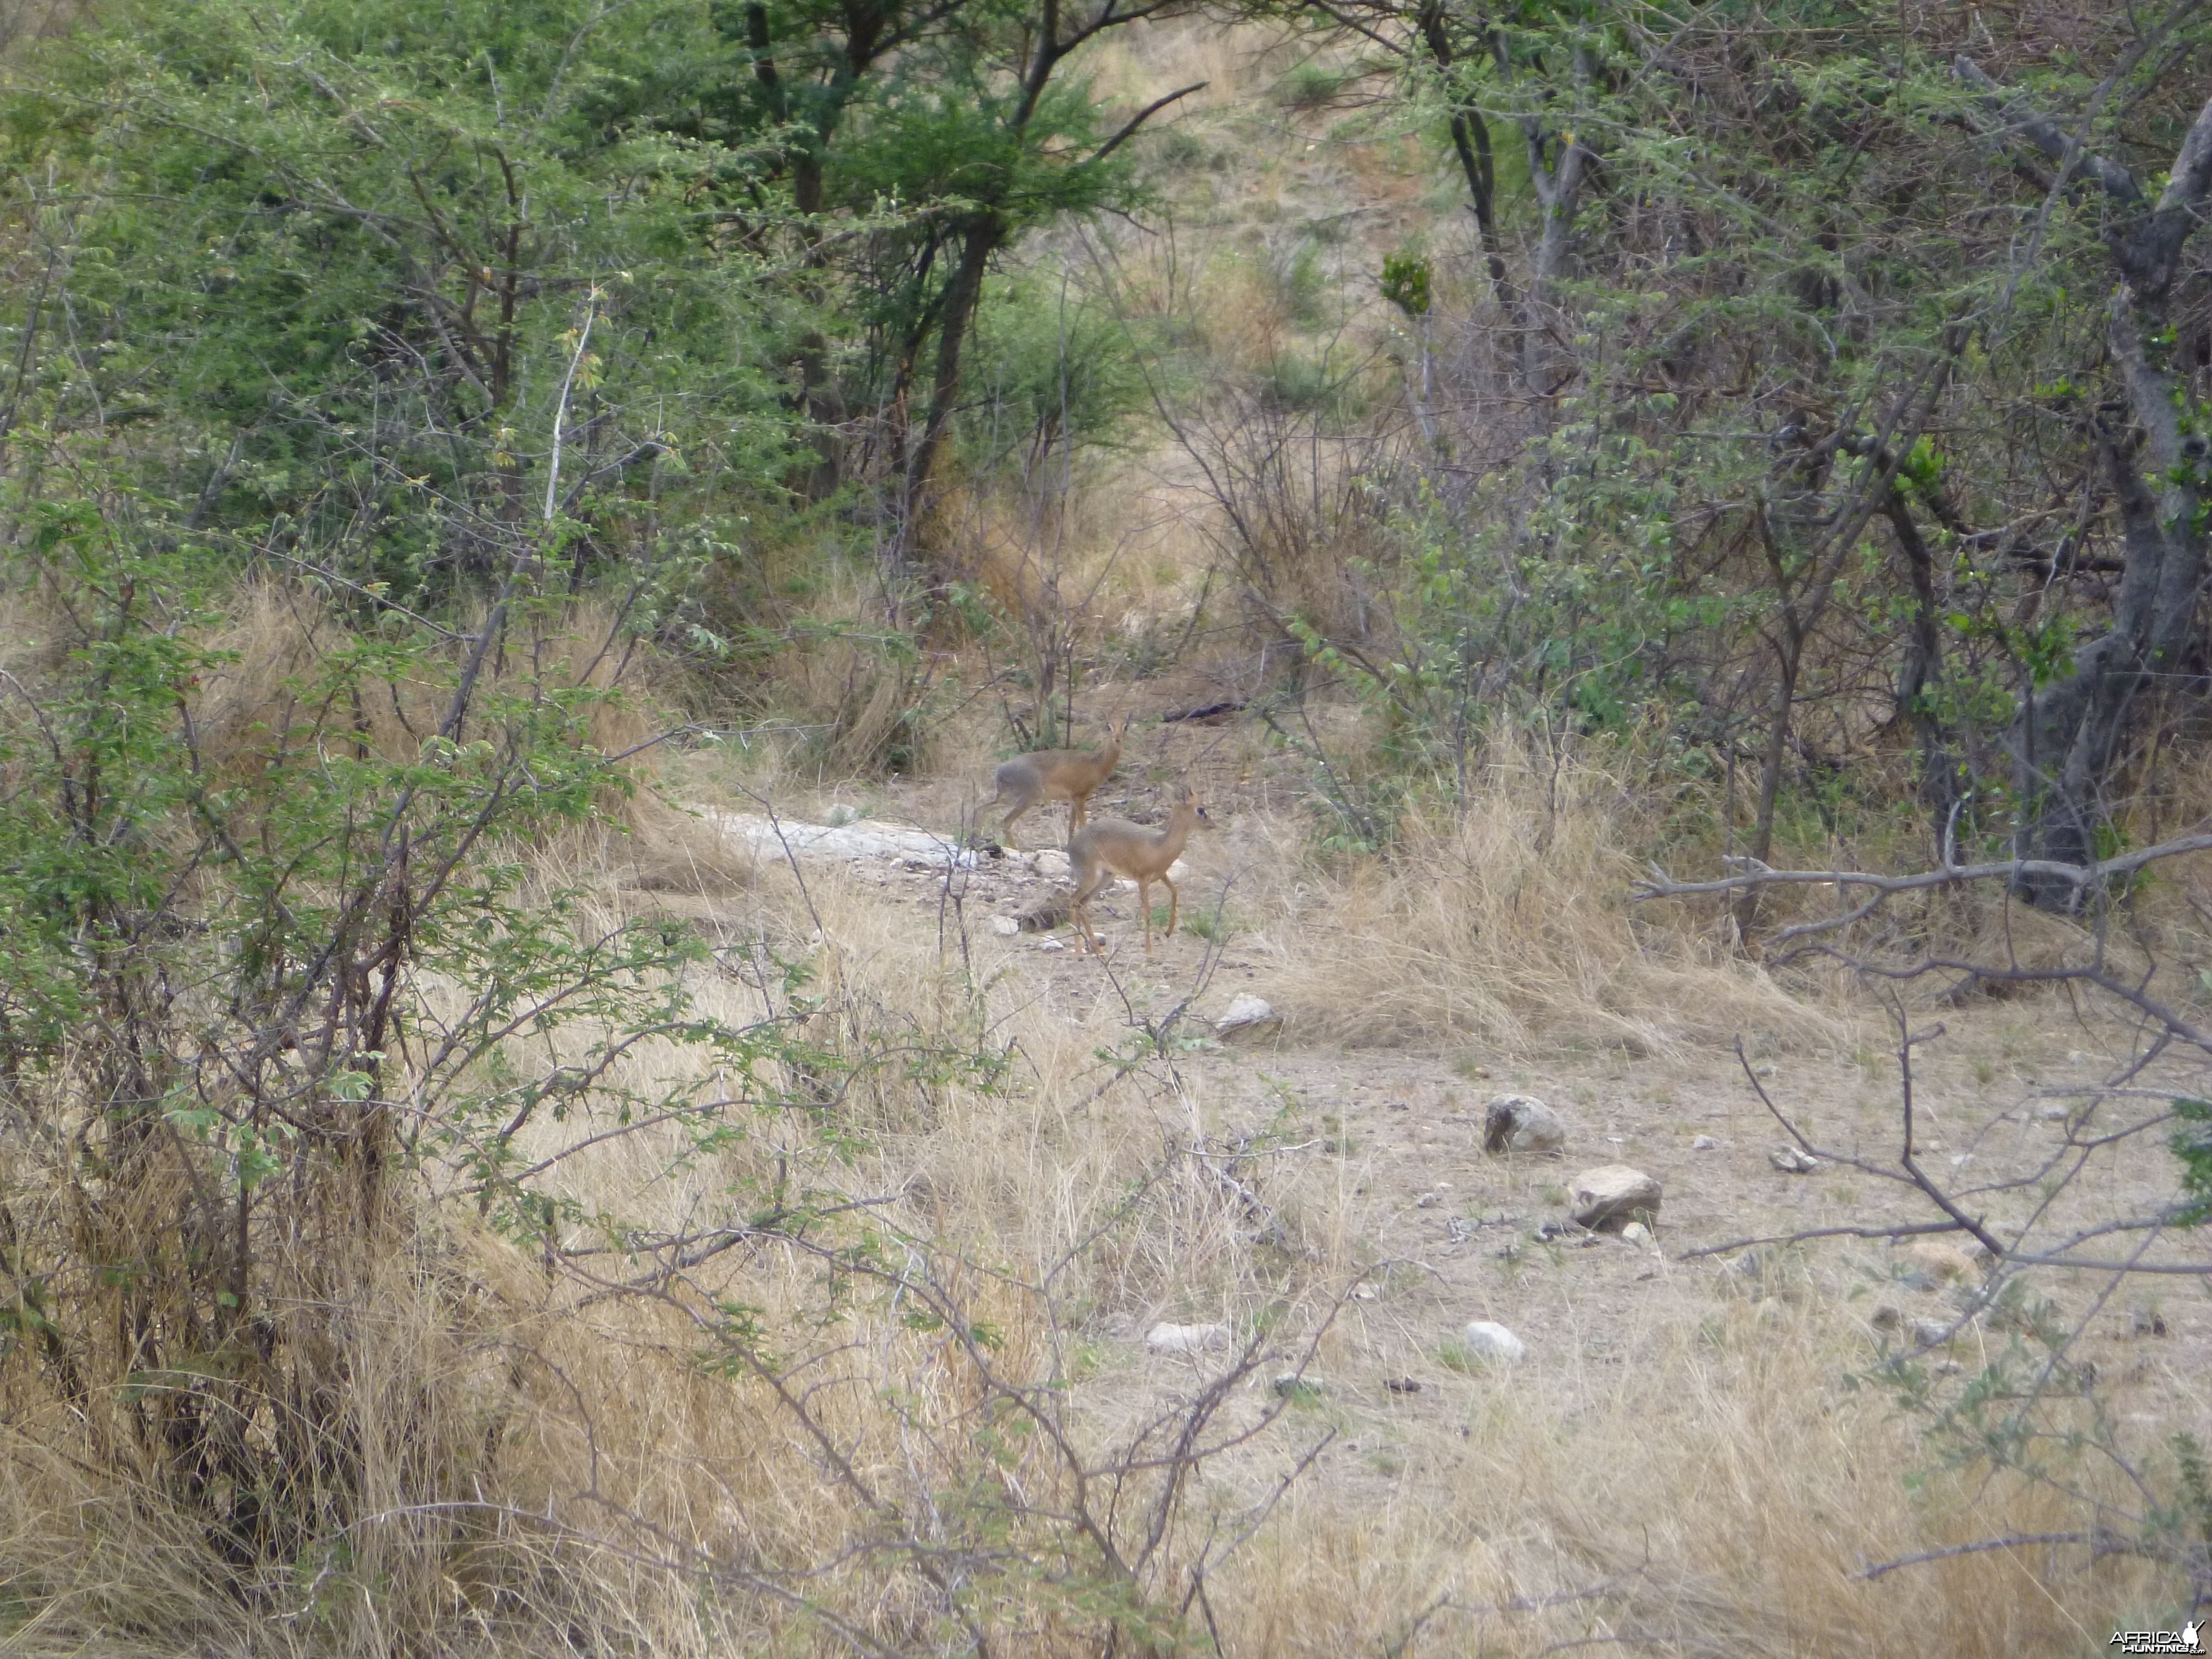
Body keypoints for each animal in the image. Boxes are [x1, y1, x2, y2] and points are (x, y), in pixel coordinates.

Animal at [987, 712, 1124, 845]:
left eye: (1125, 727)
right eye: (1109, 727)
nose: (1117, 739)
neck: (1097, 763)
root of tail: (1000, 770)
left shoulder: (1073, 799)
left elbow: (1072, 826)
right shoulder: (1080, 797)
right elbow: (1082, 825)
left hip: (1007, 799)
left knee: (984, 810)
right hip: (1026, 799)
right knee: (1005, 822)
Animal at [1066, 792, 1212, 960]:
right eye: (1200, 810)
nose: (1213, 824)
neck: (1159, 846)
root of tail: (1071, 846)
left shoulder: (1161, 875)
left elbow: (1175, 892)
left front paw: (1168, 932)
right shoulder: (1143, 881)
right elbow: (1147, 912)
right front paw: (1149, 951)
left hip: (1106, 878)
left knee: (1082, 904)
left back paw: (1097, 950)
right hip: (1091, 879)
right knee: (1073, 901)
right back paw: (1080, 950)